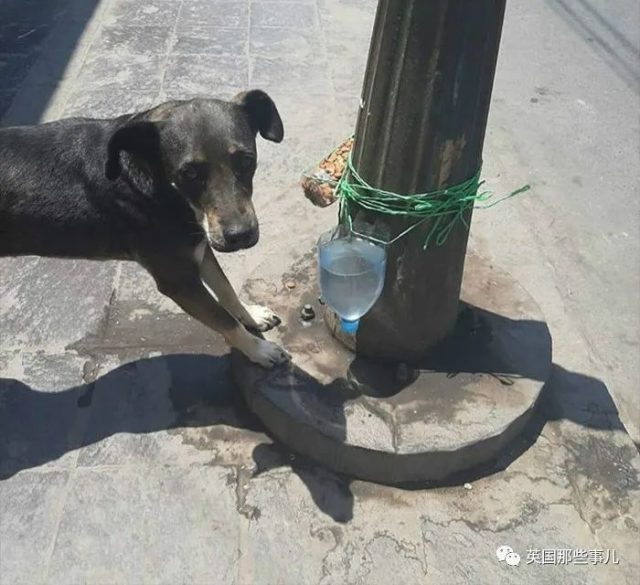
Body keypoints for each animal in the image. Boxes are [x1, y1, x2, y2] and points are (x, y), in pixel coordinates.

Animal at [0, 89, 290, 368]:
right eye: (189, 174)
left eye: (246, 161)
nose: (240, 235)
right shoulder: (179, 281)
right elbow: (225, 321)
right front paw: (259, 350)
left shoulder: (199, 246)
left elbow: (225, 288)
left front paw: (250, 314)